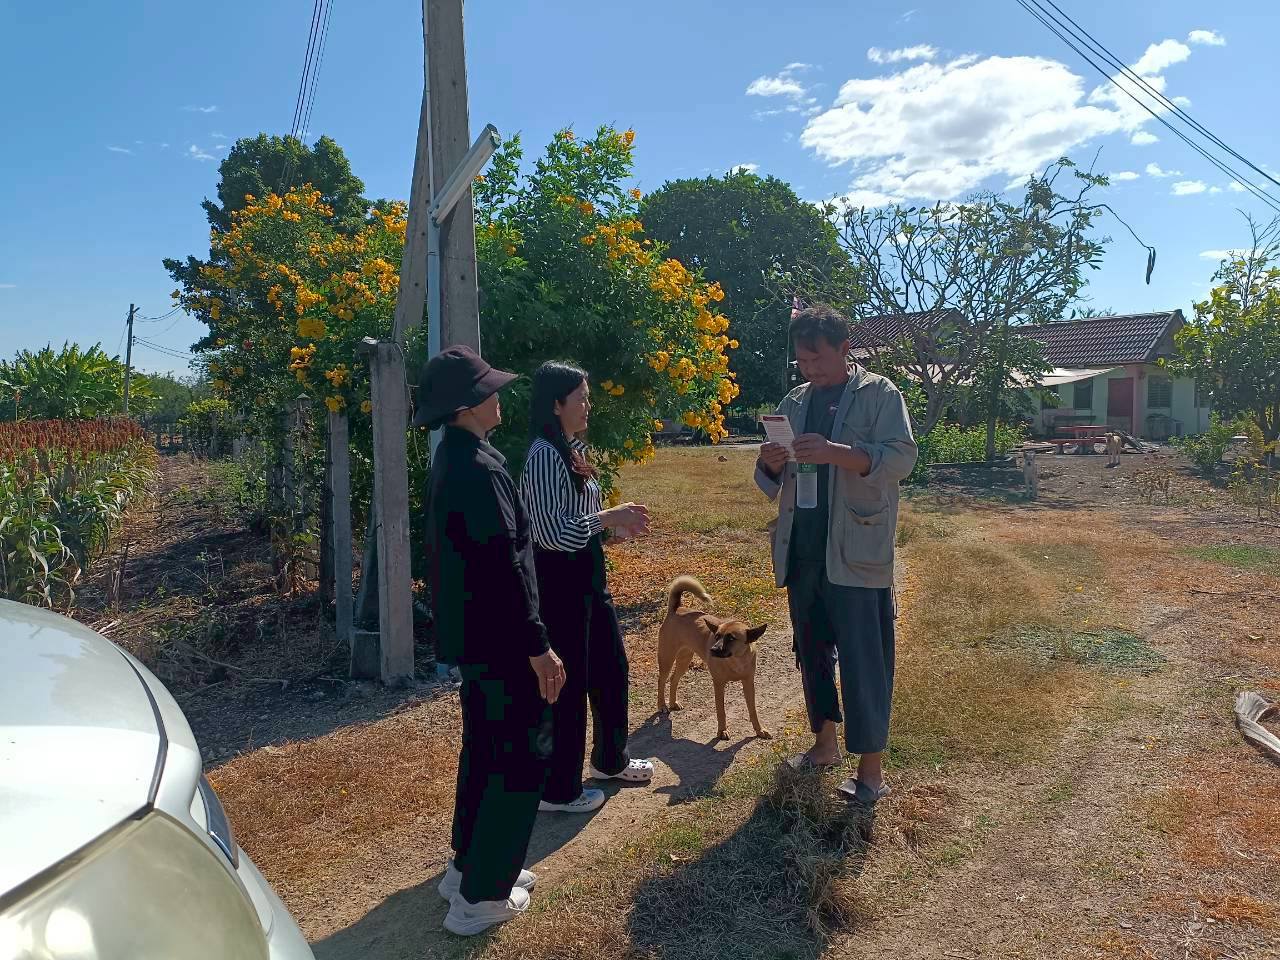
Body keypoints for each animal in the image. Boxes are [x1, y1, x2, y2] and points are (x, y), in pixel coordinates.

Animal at [657, 576, 770, 741]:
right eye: (717, 636)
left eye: (731, 638)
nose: (713, 649)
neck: (736, 661)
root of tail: (676, 609)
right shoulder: (719, 685)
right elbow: (721, 711)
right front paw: (722, 731)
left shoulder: (749, 683)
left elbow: (753, 710)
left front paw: (759, 730)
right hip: (667, 658)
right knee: (661, 680)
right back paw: (662, 705)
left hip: (684, 659)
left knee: (673, 679)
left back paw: (672, 703)